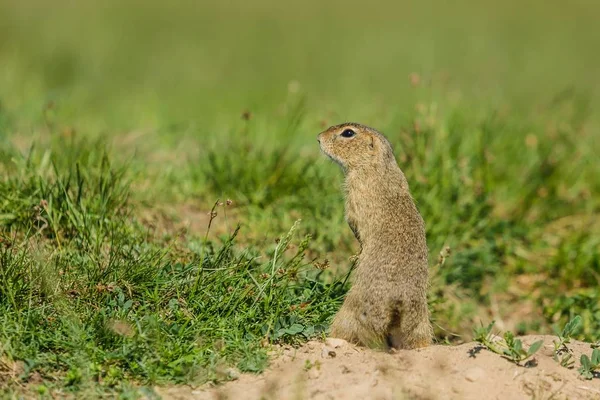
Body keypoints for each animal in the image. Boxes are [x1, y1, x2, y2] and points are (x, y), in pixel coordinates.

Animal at [318, 122, 432, 350]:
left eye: (348, 133)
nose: (318, 138)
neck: (379, 166)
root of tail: (397, 305)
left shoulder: (356, 193)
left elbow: (354, 220)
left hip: (352, 309)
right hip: (421, 324)